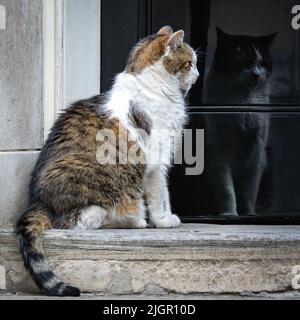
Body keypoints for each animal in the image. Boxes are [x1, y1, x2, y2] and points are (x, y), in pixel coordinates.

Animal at [16, 25, 199, 298]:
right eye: (190, 62)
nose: (197, 75)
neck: (151, 83)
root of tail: (36, 202)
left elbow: (164, 193)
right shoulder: (156, 161)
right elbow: (160, 195)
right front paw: (164, 220)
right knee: (82, 221)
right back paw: (135, 220)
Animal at [204, 27, 276, 216]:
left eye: (263, 62)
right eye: (241, 58)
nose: (256, 74)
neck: (244, 101)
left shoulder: (257, 148)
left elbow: (250, 189)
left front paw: (250, 214)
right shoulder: (218, 150)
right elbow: (226, 189)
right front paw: (230, 215)